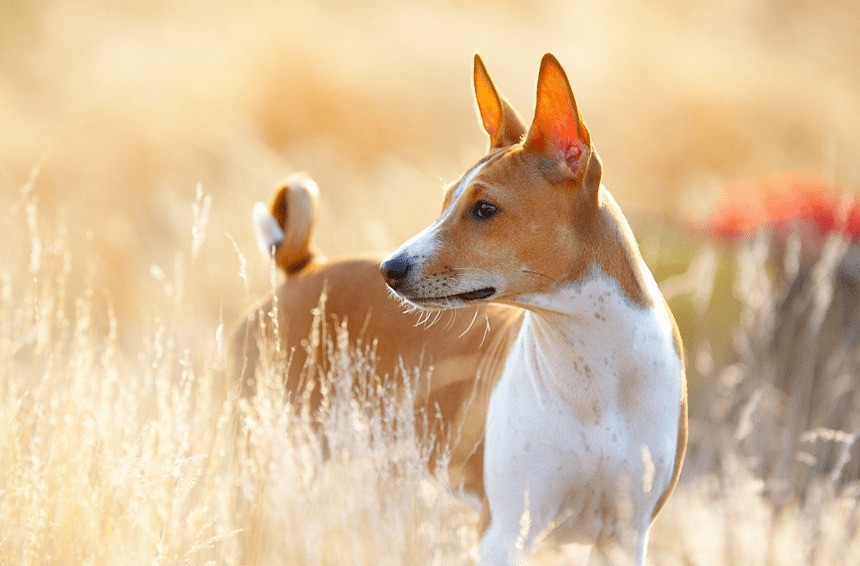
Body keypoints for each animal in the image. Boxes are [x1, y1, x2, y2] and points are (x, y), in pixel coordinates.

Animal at [380, 52, 688, 564]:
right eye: (445, 202)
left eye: (484, 209)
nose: (389, 268)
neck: (594, 374)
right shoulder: (505, 532)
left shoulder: (625, 537)